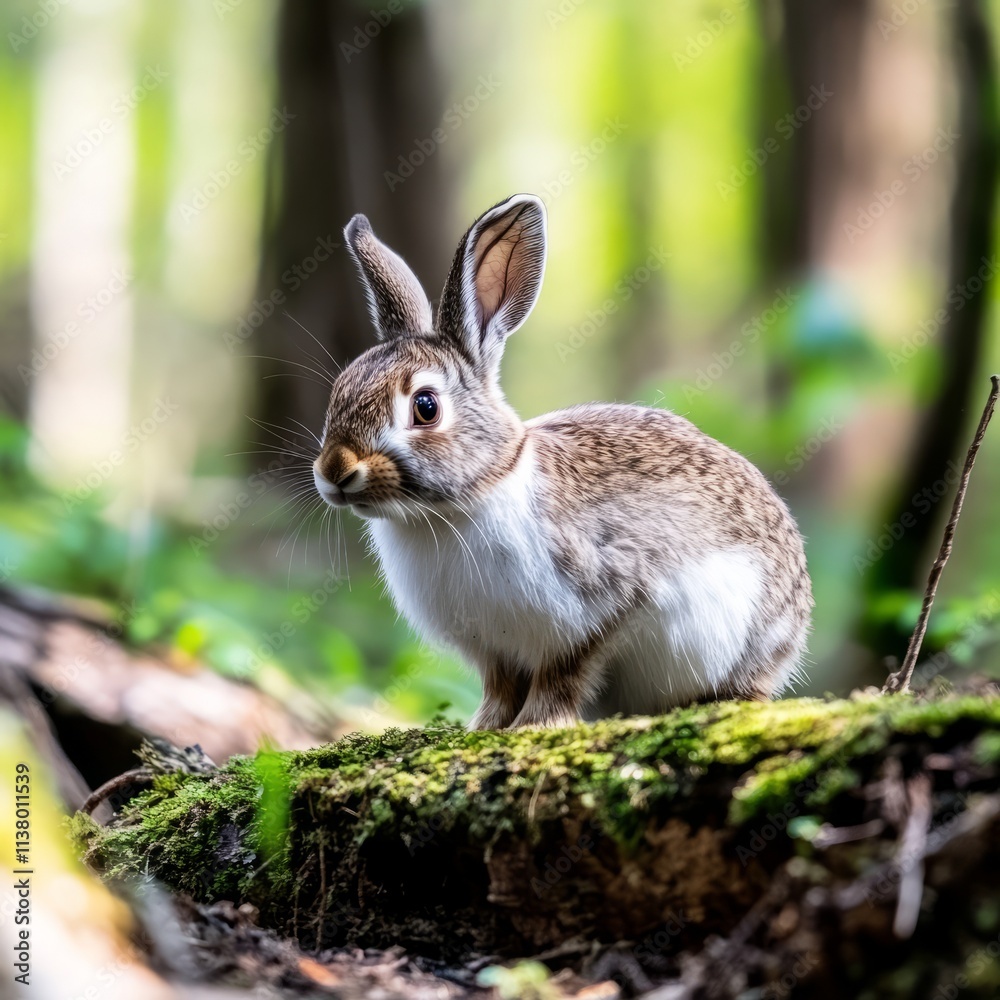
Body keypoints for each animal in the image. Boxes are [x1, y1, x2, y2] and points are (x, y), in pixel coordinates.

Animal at [312, 193, 813, 730]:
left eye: (425, 407)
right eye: (341, 387)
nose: (335, 470)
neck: (466, 500)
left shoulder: (606, 604)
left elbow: (565, 673)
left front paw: (536, 725)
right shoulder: (495, 650)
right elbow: (500, 686)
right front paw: (485, 726)